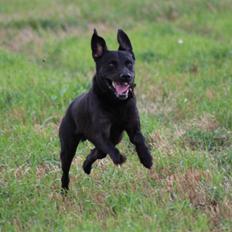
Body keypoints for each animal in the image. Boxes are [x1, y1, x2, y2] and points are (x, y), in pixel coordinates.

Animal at [59, 29, 152, 190]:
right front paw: (119, 158)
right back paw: (65, 189)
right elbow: (109, 146)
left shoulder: (133, 126)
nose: (126, 76)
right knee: (66, 169)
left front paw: (147, 159)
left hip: (116, 138)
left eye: (129, 63)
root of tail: (70, 107)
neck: (116, 103)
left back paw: (86, 166)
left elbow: (139, 139)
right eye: (111, 64)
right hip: (68, 146)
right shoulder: (99, 133)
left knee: (97, 152)